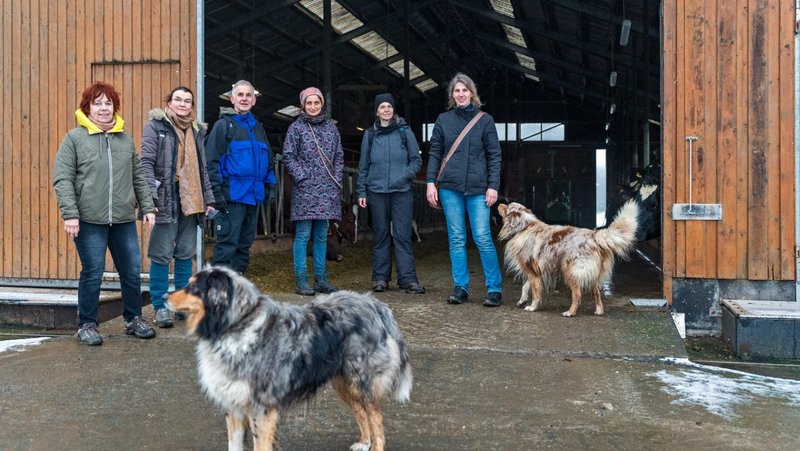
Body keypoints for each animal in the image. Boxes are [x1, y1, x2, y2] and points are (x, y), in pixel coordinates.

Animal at [168, 264, 412, 451]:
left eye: (192, 287)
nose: (164, 296)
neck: (236, 324)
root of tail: (375, 304)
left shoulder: (262, 408)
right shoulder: (234, 405)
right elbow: (234, 445)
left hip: (362, 381)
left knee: (376, 419)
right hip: (344, 382)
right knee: (362, 412)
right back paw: (364, 442)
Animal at [500, 201, 636, 318]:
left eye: (508, 207)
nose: (499, 203)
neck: (523, 227)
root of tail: (593, 236)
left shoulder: (531, 269)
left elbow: (535, 291)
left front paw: (532, 307)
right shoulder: (536, 271)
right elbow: (526, 286)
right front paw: (522, 300)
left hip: (571, 271)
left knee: (577, 294)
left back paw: (570, 312)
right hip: (592, 275)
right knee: (596, 293)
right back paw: (598, 311)